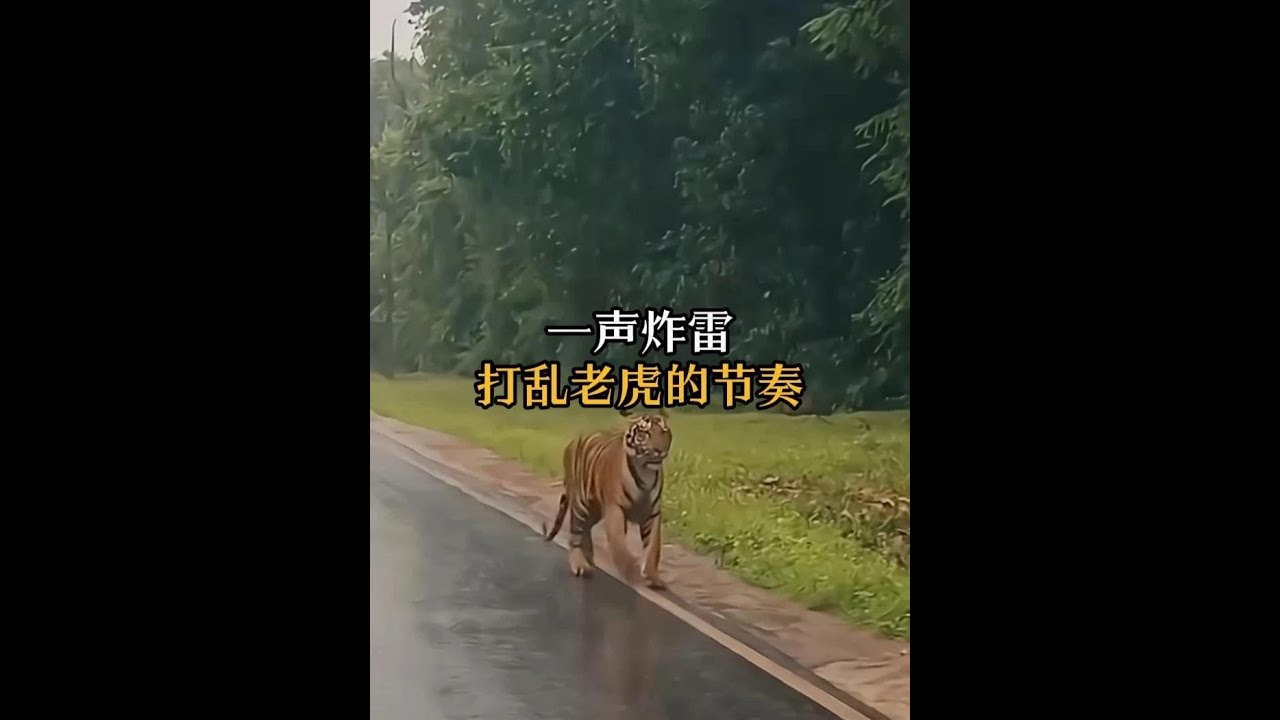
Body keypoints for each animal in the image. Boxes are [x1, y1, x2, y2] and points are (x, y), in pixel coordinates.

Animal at [542, 407, 673, 589]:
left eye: (663, 431)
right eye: (645, 433)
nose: (659, 450)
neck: (646, 471)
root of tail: (573, 441)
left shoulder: (652, 514)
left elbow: (654, 547)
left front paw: (652, 577)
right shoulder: (616, 509)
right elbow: (618, 543)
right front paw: (630, 570)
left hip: (595, 509)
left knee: (586, 529)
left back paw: (589, 556)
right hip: (581, 504)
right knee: (575, 535)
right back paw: (581, 565)